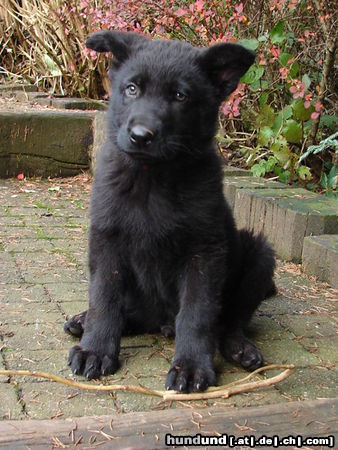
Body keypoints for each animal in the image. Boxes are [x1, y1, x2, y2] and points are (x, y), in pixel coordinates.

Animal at [64, 30, 276, 394]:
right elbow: (104, 297)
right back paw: (85, 321)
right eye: (131, 88)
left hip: (259, 255)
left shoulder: (203, 253)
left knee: (230, 320)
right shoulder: (107, 239)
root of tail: (159, 321)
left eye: (180, 96)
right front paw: (96, 349)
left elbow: (197, 313)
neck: (153, 176)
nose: (140, 136)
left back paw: (239, 347)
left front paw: (190, 366)